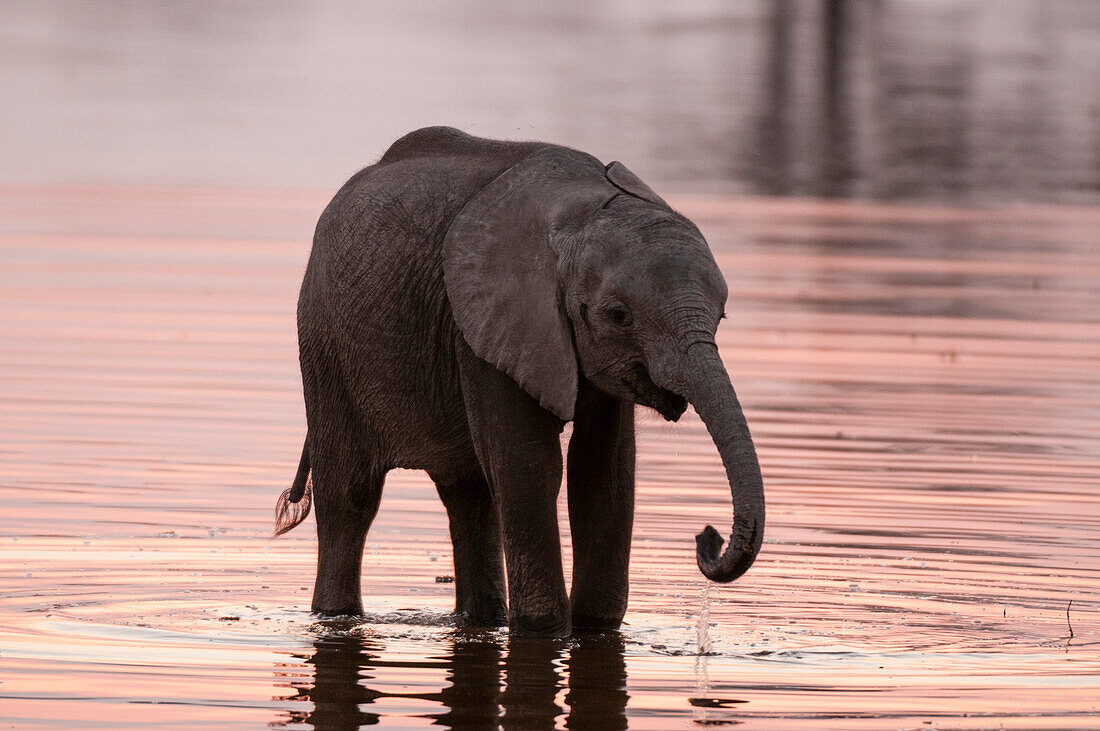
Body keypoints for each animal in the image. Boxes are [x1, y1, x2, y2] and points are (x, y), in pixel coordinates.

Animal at [277, 128, 765, 637]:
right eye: (619, 315)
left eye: (721, 316)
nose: (707, 537)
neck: (580, 214)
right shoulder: (484, 323)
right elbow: (529, 465)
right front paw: (544, 630)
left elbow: (603, 471)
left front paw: (594, 626)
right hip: (324, 339)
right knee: (350, 496)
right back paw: (335, 616)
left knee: (470, 497)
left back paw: (482, 620)